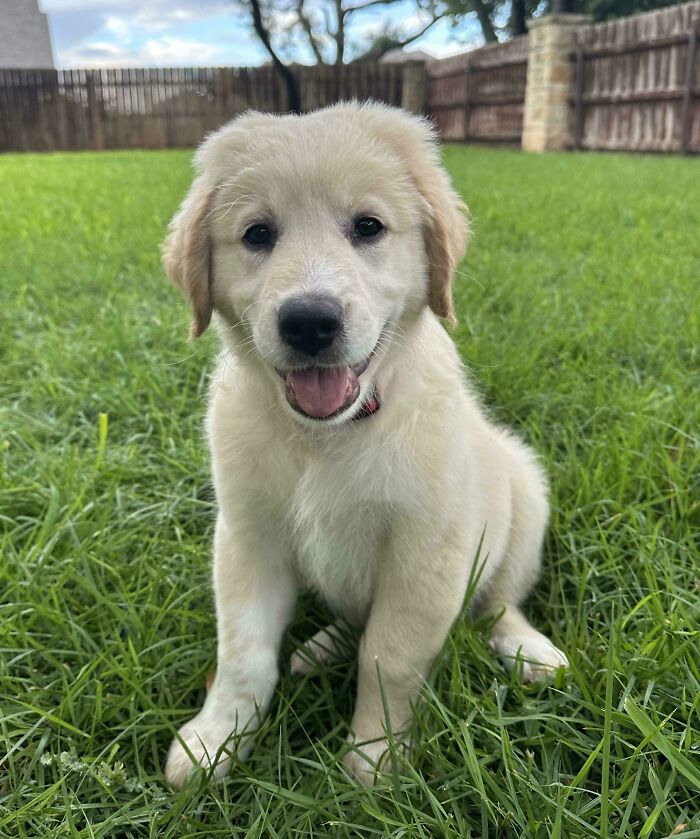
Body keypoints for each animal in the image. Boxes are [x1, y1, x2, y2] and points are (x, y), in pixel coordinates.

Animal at [161, 101, 568, 792]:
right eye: (257, 234)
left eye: (368, 227)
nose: (309, 321)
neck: (326, 438)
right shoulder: (246, 537)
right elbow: (243, 652)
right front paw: (215, 740)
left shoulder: (427, 552)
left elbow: (390, 655)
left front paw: (376, 759)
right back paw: (320, 648)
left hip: (524, 494)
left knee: (498, 603)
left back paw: (527, 650)